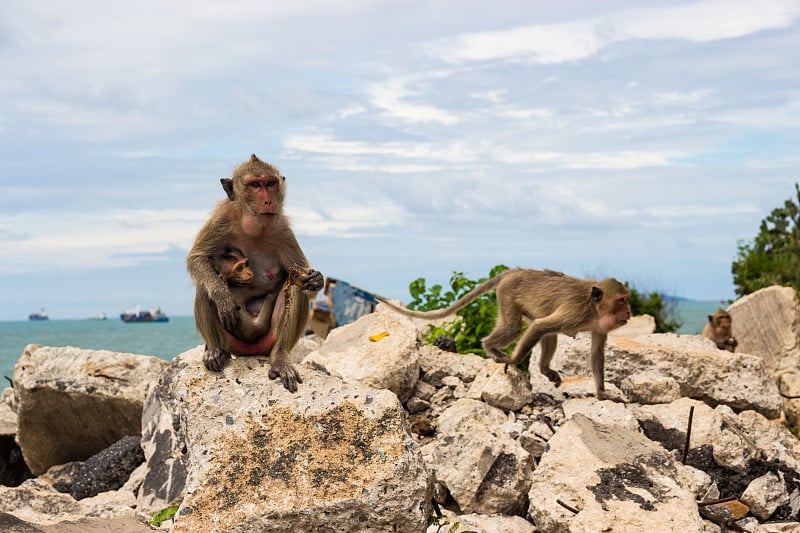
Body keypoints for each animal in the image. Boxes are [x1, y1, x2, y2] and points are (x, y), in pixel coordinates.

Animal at [188, 154, 322, 390]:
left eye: (270, 183)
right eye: (255, 185)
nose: (268, 201)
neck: (252, 226)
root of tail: (250, 353)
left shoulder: (283, 230)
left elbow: (303, 280)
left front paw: (315, 279)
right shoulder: (221, 219)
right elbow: (198, 259)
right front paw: (223, 297)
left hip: (267, 341)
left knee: (295, 289)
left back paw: (280, 358)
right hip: (232, 344)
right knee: (204, 288)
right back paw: (214, 351)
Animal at [376, 268, 632, 396]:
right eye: (622, 300)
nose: (629, 312)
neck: (594, 310)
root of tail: (514, 272)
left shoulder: (599, 326)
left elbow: (596, 353)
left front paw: (602, 393)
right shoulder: (575, 312)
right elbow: (539, 327)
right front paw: (513, 360)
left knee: (547, 333)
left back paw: (544, 369)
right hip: (507, 293)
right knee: (517, 327)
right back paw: (490, 347)